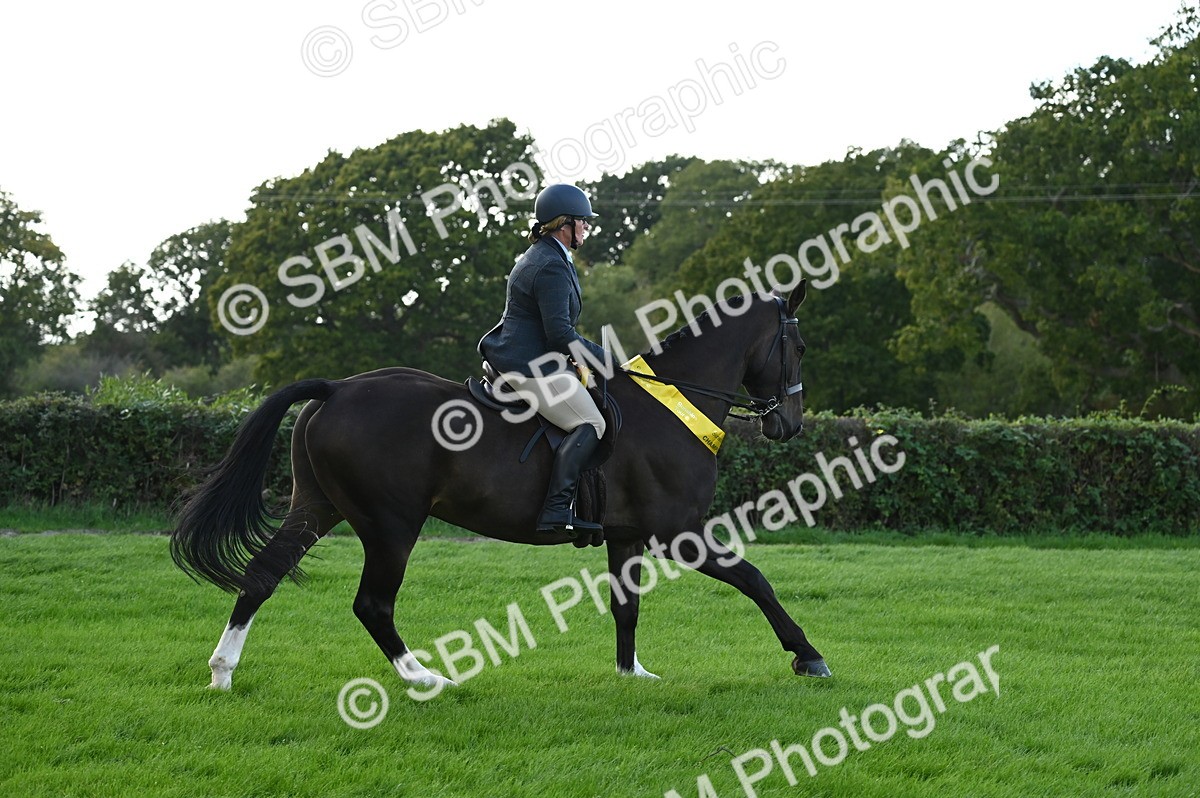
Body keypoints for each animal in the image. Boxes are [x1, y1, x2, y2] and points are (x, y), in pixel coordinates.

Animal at [171, 281, 830, 695]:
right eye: (798, 346)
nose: (790, 424)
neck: (675, 401)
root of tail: (335, 388)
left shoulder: (628, 536)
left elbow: (627, 606)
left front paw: (631, 674)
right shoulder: (682, 532)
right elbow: (755, 580)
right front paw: (809, 655)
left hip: (319, 506)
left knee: (263, 573)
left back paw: (222, 672)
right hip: (391, 525)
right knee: (373, 604)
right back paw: (424, 678)